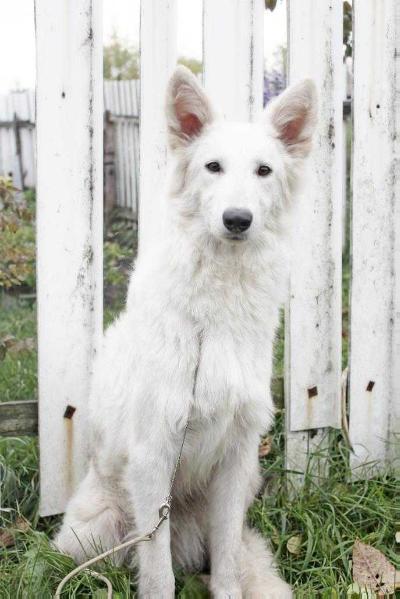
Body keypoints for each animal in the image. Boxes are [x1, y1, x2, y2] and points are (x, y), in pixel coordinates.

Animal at [54, 67, 316, 599]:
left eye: (264, 171)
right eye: (213, 167)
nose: (237, 220)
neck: (215, 315)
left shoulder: (237, 460)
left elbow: (229, 564)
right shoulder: (154, 458)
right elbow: (157, 573)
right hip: (96, 529)